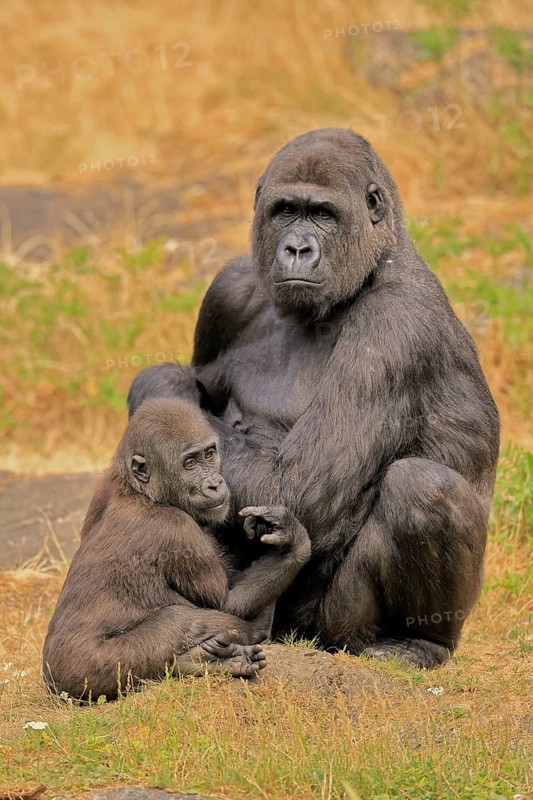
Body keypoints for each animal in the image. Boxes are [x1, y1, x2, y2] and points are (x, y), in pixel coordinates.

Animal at [43, 397, 311, 700]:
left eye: (210, 455)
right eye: (189, 464)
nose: (215, 484)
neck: (142, 492)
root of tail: (51, 681)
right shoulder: (177, 528)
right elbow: (228, 603)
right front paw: (293, 543)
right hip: (85, 673)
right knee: (181, 620)